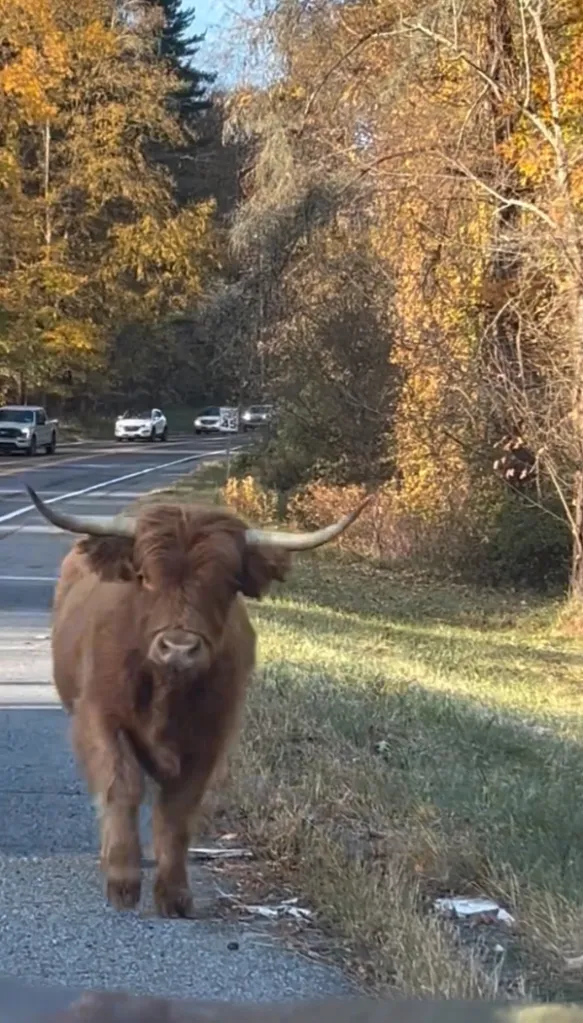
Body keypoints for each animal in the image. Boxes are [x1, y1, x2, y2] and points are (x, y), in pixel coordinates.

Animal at [26, 484, 371, 918]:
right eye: (144, 577)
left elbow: (177, 811)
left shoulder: (210, 737)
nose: (179, 648)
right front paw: (122, 881)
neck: (167, 692)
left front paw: (174, 894)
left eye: (226, 583)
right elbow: (122, 788)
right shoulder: (100, 718)